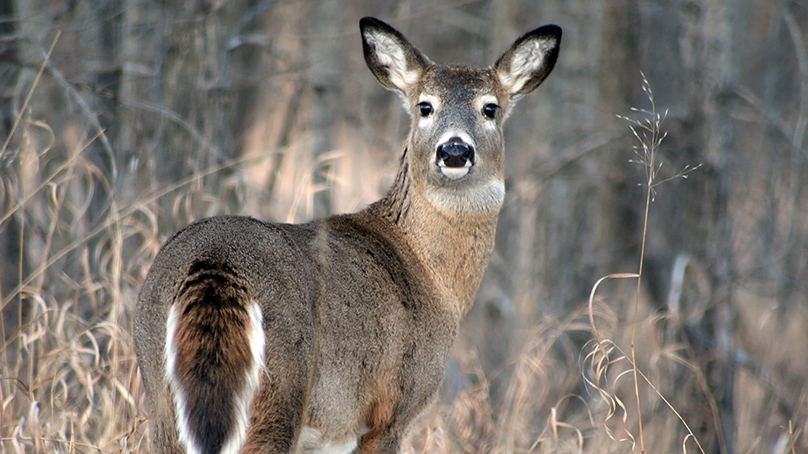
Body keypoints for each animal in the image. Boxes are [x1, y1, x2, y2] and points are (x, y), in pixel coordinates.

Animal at [134, 15, 560, 454]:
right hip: (280, 396)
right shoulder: (392, 409)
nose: (455, 150)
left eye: (490, 108)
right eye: (425, 106)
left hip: (157, 391)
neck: (433, 277)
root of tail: (216, 263)